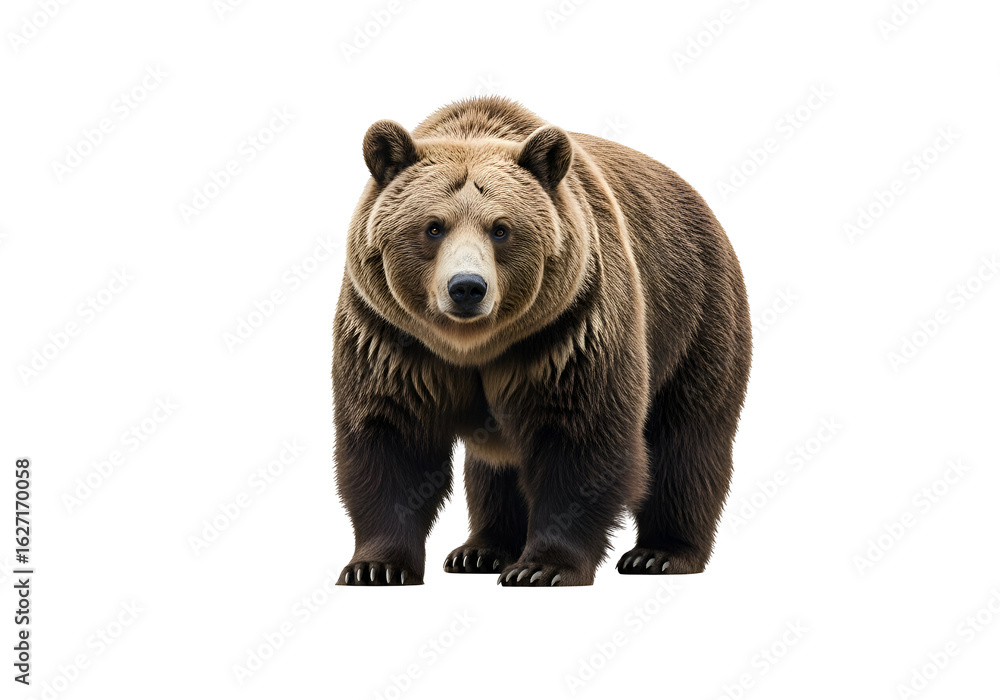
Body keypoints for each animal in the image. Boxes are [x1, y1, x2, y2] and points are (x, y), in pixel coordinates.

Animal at [334, 96, 751, 586]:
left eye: (501, 228)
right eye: (433, 226)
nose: (467, 287)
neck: (472, 345)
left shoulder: (568, 331)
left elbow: (579, 436)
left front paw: (542, 567)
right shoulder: (391, 339)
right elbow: (390, 435)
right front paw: (375, 566)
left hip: (693, 318)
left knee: (685, 442)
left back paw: (659, 554)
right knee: (495, 464)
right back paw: (480, 550)